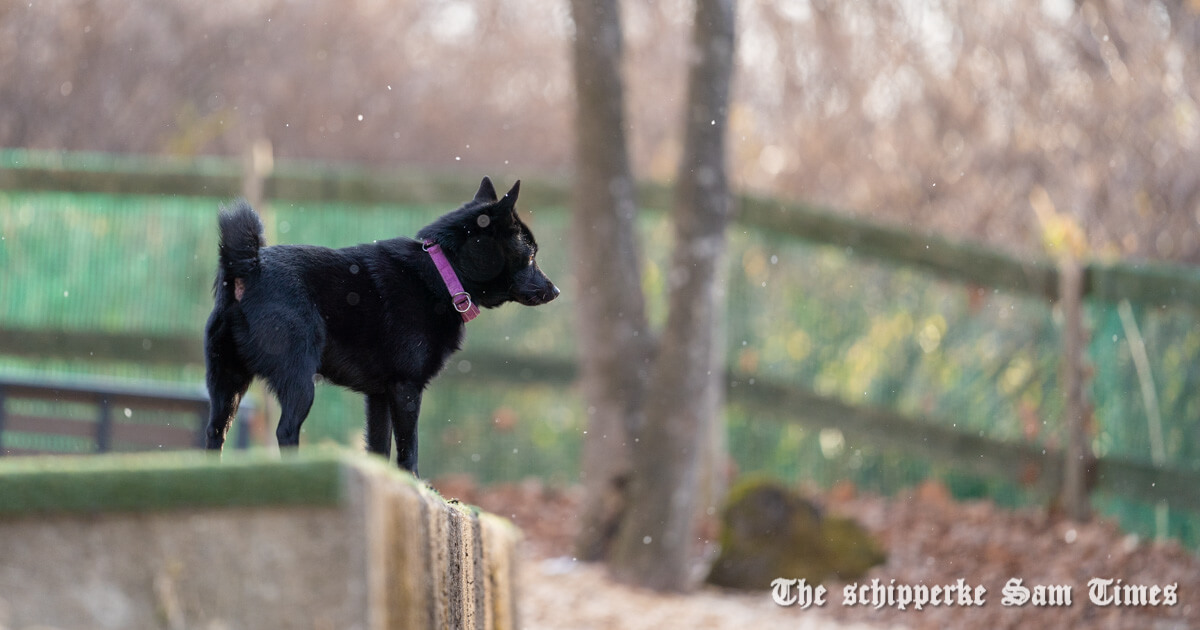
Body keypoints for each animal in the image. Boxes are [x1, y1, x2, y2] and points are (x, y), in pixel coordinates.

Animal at [204, 176, 559, 470]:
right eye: (531, 256)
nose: (555, 290)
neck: (439, 274)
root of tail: (248, 269)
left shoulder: (379, 396)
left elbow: (379, 448)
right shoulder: (406, 388)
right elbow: (408, 449)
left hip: (227, 383)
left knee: (214, 432)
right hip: (299, 382)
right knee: (286, 430)